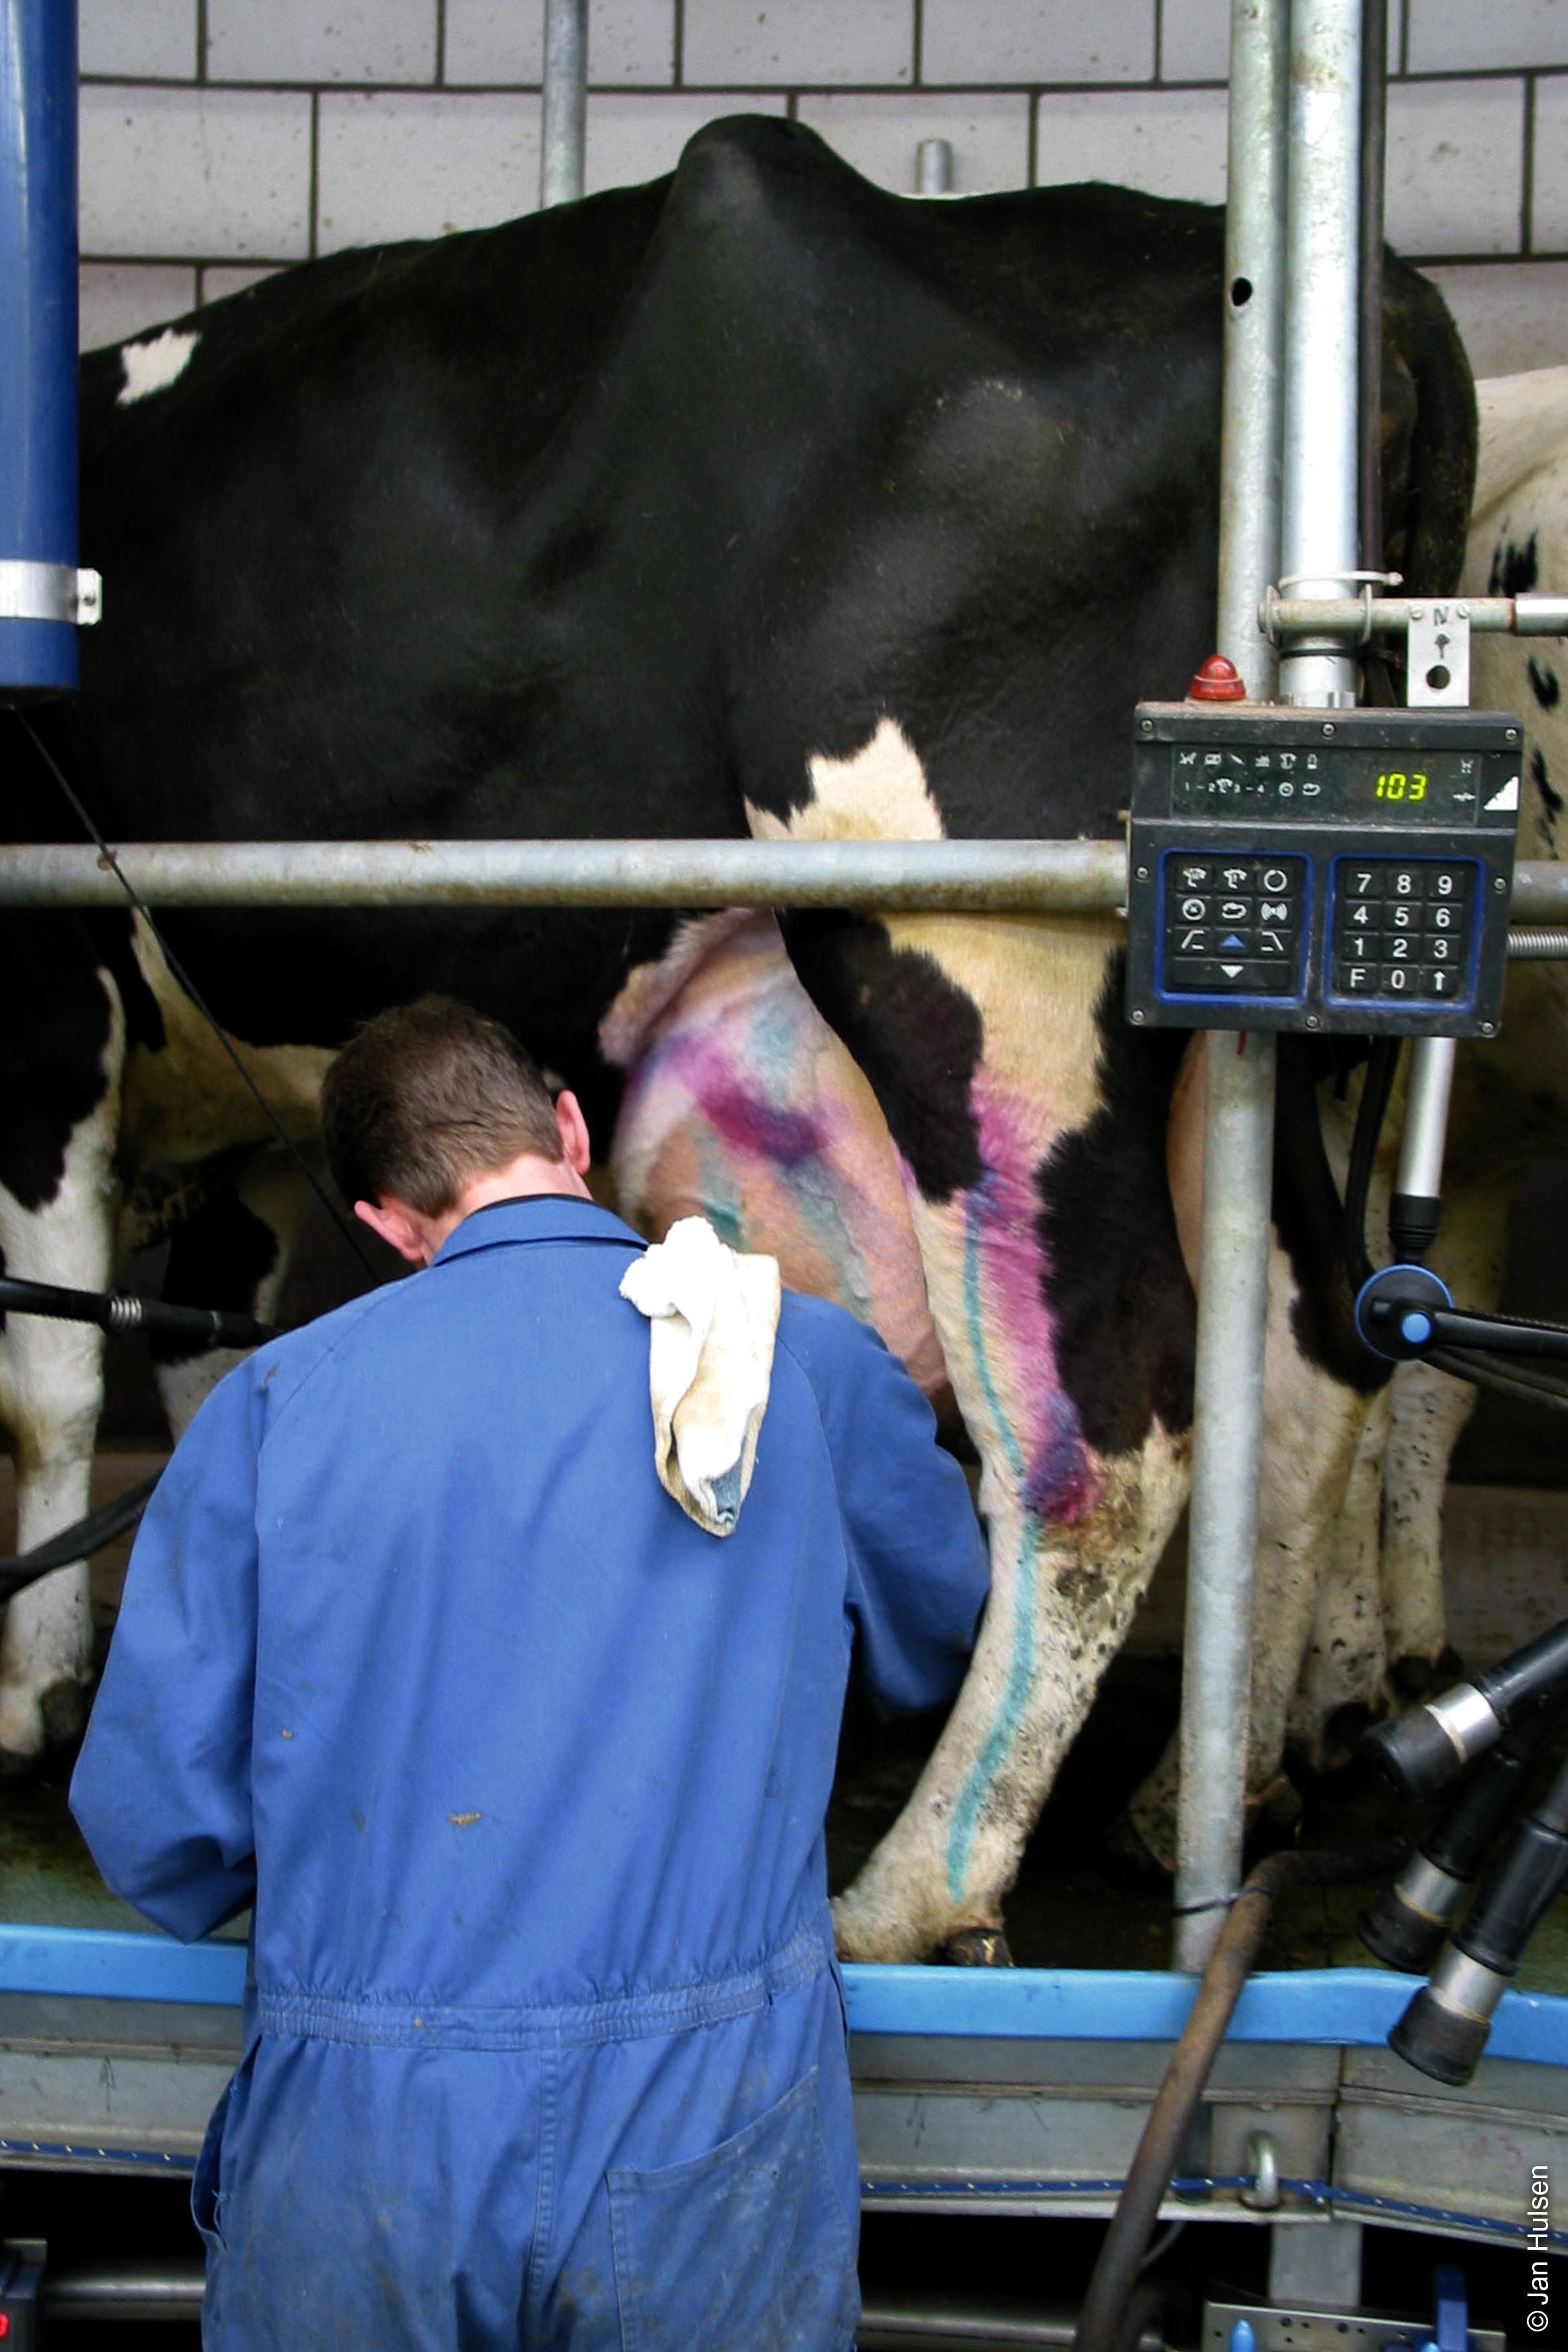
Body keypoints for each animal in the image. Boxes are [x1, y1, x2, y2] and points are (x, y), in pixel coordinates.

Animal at [0, 119, 1476, 1956]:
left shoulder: (45, 995)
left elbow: (49, 1379)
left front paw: (31, 1697)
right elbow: (207, 1359)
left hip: (980, 954)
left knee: (1099, 1427)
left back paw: (911, 1892)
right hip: (1236, 1038)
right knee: (1307, 1354)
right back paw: (1196, 1803)